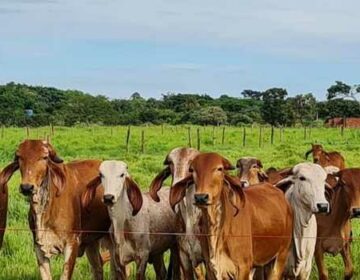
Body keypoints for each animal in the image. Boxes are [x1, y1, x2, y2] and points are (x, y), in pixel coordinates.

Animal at [0, 140, 111, 280]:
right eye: (19, 157)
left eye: (44, 157)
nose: (27, 187)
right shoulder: (38, 247)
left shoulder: (72, 243)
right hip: (92, 241)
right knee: (98, 267)